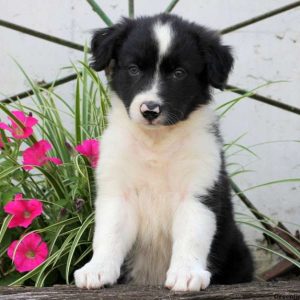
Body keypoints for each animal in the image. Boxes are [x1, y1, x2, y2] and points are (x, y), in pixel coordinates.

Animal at [74, 13, 253, 290]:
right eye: (134, 69)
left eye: (179, 73)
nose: (150, 109)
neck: (156, 143)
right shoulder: (118, 192)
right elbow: (109, 234)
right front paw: (97, 269)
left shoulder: (197, 191)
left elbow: (192, 235)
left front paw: (187, 273)